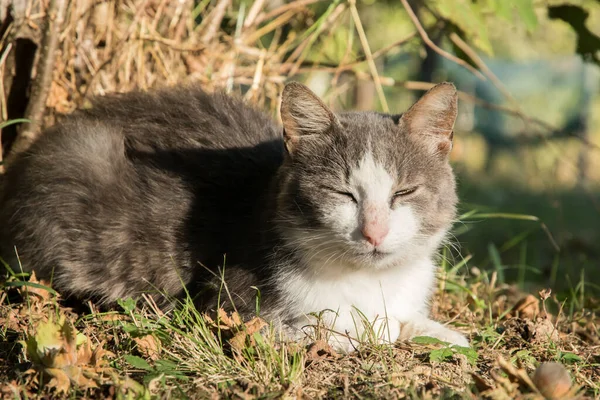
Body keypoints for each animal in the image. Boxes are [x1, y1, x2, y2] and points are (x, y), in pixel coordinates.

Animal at [0, 83, 468, 352]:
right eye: (342, 193)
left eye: (404, 192)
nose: (374, 232)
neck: (370, 282)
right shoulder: (226, 302)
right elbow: (334, 330)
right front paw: (375, 330)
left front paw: (443, 332)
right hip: (81, 160)